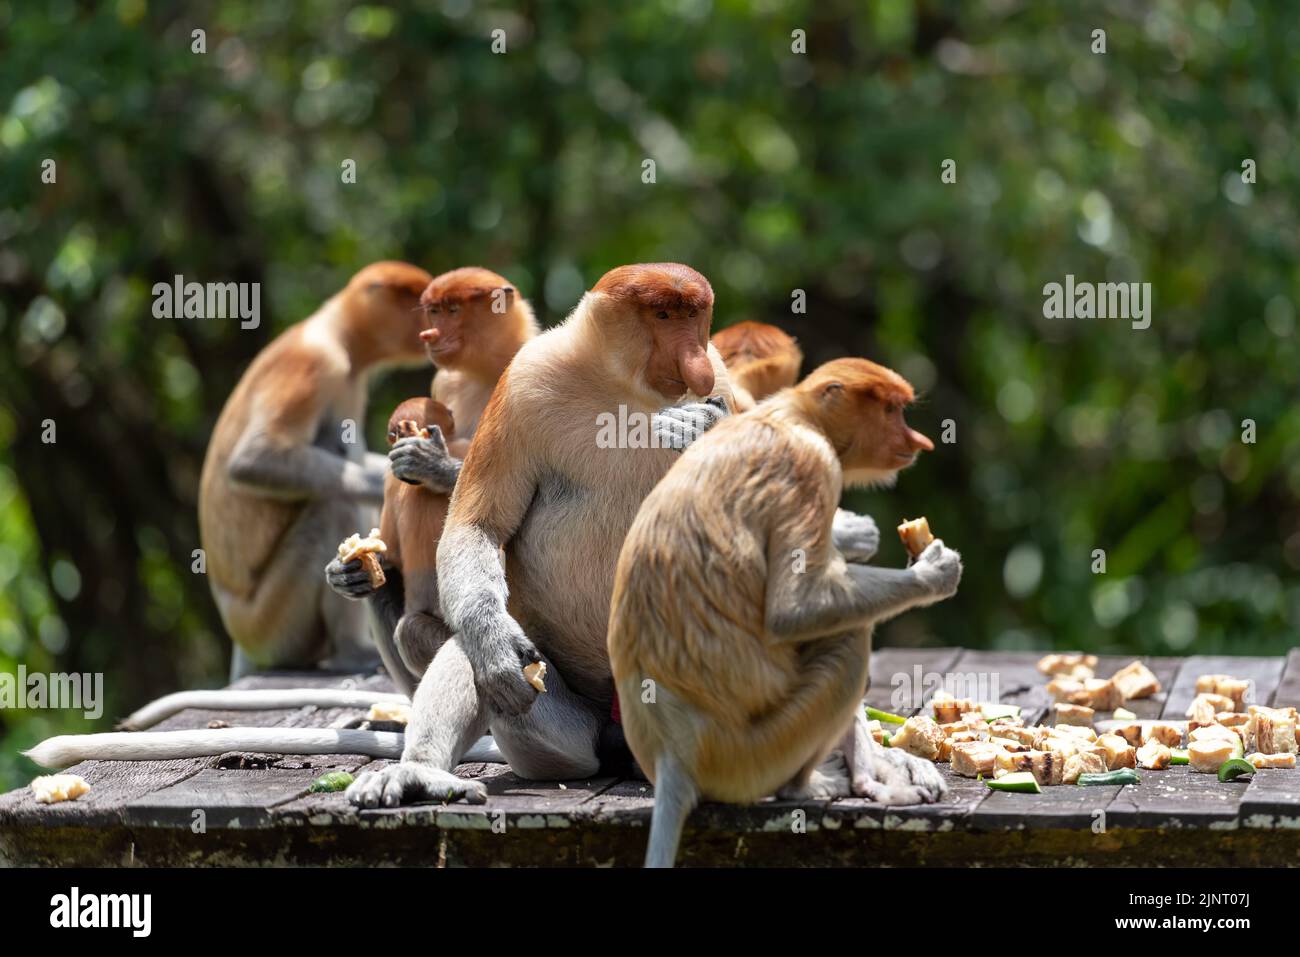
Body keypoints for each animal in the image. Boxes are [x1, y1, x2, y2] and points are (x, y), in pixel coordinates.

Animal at [197, 261, 431, 681]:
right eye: (416, 303)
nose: (427, 329)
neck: (337, 330)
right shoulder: (319, 363)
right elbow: (254, 459)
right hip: (272, 623)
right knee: (333, 502)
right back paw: (354, 653)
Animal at [605, 356, 956, 868]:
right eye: (891, 410)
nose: (920, 442)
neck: (796, 414)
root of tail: (675, 752)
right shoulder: (812, 466)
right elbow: (793, 611)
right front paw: (935, 572)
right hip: (754, 752)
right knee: (848, 640)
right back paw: (820, 785)